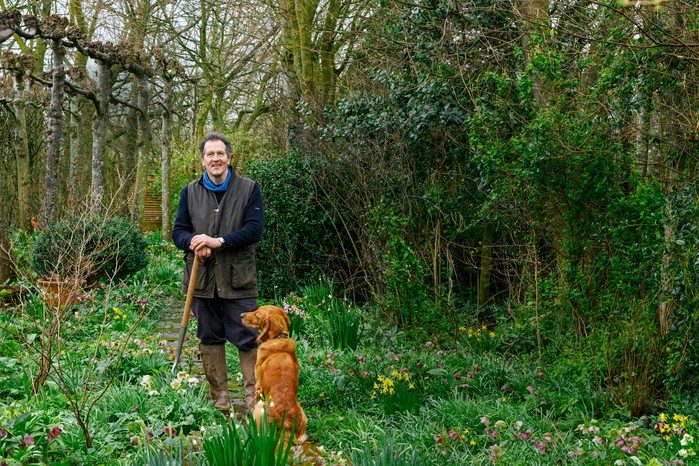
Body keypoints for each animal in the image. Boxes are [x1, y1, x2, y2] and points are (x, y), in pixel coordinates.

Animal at [242, 304, 308, 442]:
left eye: (257, 314)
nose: (241, 315)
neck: (278, 338)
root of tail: (286, 423)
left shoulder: (258, 385)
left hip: (260, 408)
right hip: (302, 411)